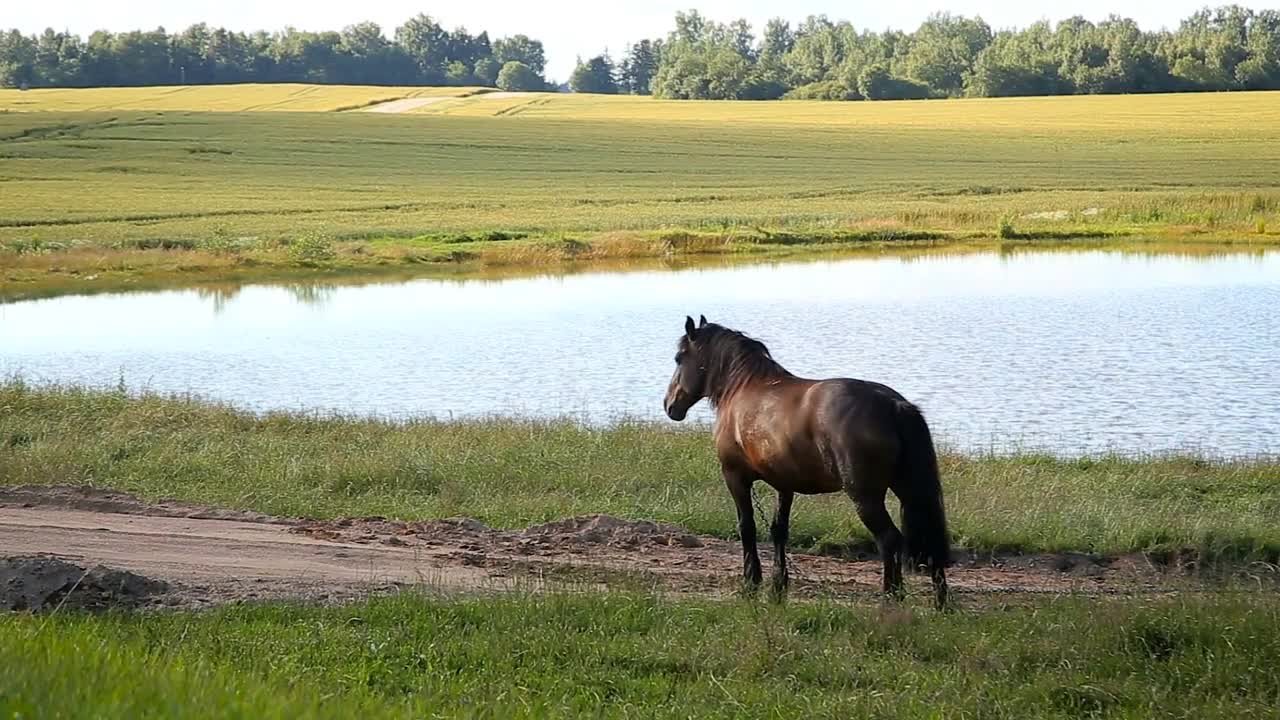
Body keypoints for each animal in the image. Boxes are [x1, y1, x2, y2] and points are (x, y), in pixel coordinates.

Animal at [660, 313, 952, 604]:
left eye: (679, 357)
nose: (669, 405)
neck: (743, 387)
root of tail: (893, 405)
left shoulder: (735, 477)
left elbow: (747, 527)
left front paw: (751, 582)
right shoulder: (784, 484)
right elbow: (779, 530)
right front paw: (778, 585)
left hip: (865, 496)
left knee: (889, 539)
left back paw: (892, 596)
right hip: (908, 489)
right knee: (930, 543)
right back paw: (941, 601)